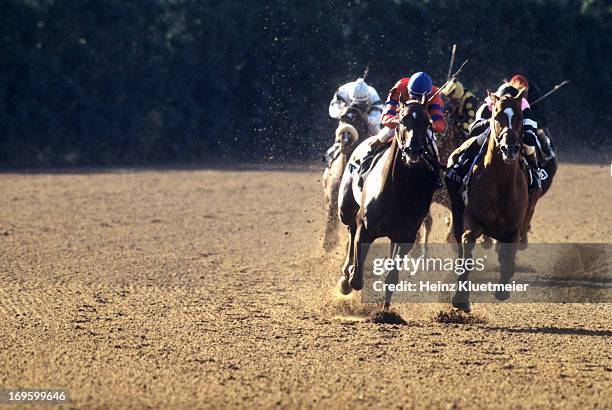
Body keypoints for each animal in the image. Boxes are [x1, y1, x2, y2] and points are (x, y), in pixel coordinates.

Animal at [340, 101, 436, 310]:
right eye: (402, 119)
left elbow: (392, 277)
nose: (413, 151)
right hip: (346, 208)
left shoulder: (406, 236)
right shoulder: (365, 228)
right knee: (350, 227)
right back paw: (345, 273)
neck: (397, 190)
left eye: (427, 122)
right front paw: (348, 279)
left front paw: (385, 311)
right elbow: (356, 279)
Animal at [444, 89, 540, 312]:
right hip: (457, 211)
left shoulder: (514, 226)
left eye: (520, 118)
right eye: (496, 116)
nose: (509, 148)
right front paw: (461, 298)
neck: (501, 183)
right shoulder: (473, 218)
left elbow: (508, 254)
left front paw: (503, 289)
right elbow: (467, 243)